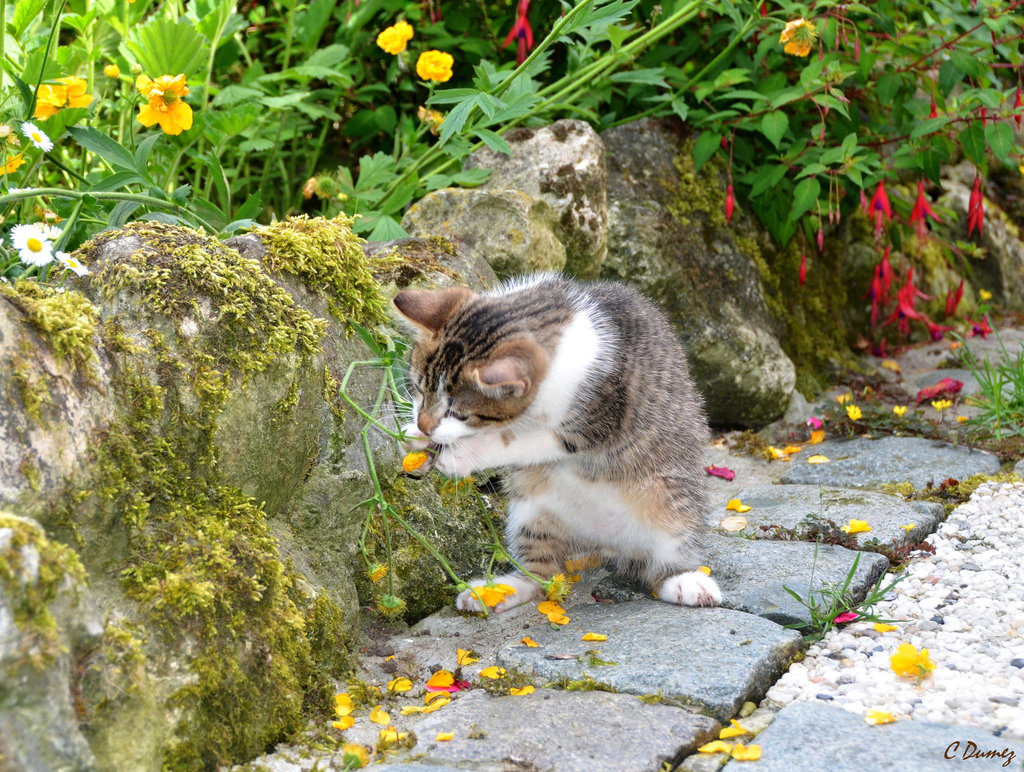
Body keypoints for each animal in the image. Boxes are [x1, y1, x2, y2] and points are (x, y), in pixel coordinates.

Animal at [391, 274, 720, 610]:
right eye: (419, 387)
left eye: (457, 413)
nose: (424, 424)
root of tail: (603, 544)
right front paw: (416, 438)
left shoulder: (597, 418)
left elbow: (517, 439)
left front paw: (462, 454)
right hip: (531, 512)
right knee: (541, 574)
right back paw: (497, 592)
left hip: (671, 502)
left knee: (666, 556)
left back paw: (684, 581)